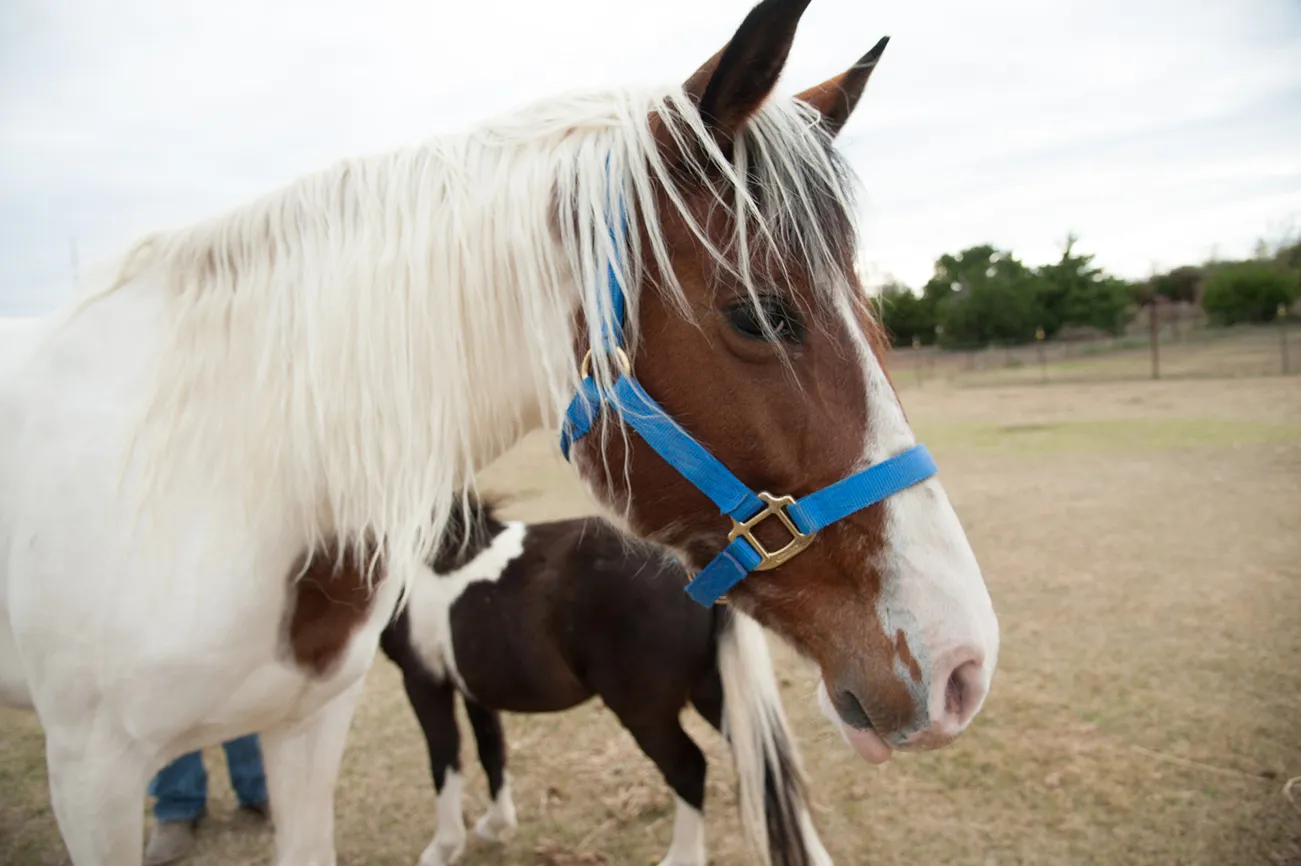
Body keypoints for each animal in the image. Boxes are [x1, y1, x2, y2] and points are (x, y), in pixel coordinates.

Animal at [379, 491, 827, 863]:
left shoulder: (423, 681)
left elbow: (443, 757)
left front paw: (443, 847)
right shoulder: (471, 685)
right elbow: (491, 749)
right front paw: (495, 825)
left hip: (644, 712)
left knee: (689, 769)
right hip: (715, 693)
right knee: (769, 767)